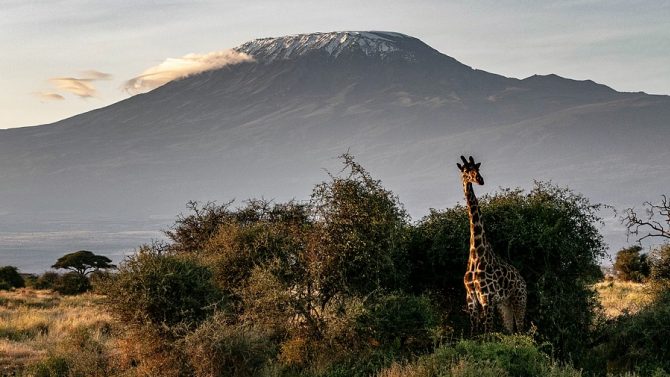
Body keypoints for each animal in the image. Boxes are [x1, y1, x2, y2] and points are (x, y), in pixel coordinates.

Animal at [460, 154, 528, 334]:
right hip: (504, 306)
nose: (480, 180)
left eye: (477, 169)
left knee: (522, 332)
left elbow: (487, 333)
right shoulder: (471, 298)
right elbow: (474, 333)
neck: (476, 253)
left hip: (519, 300)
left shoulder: (488, 298)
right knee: (510, 332)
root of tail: (523, 281)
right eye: (466, 170)